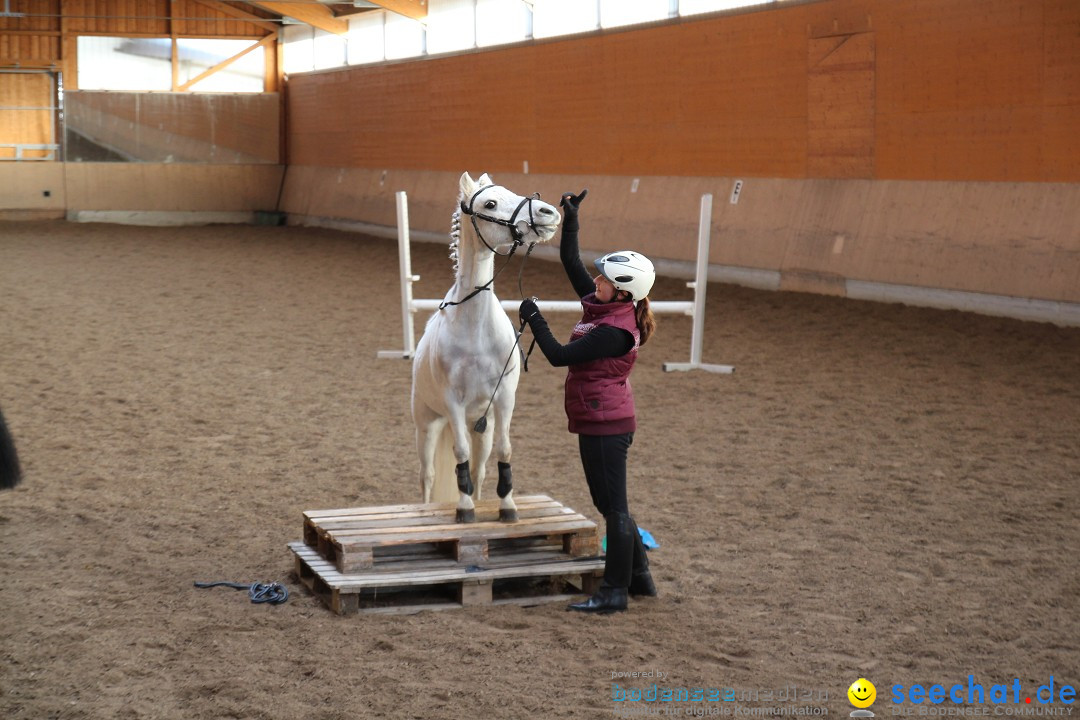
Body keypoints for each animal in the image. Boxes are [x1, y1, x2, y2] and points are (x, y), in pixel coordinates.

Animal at [410, 174, 561, 524]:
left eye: (511, 192)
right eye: (490, 204)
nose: (548, 213)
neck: (475, 328)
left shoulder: (504, 399)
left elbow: (504, 452)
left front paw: (507, 507)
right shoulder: (453, 403)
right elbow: (459, 454)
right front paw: (465, 509)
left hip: (482, 428)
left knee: (478, 471)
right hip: (428, 426)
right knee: (427, 476)